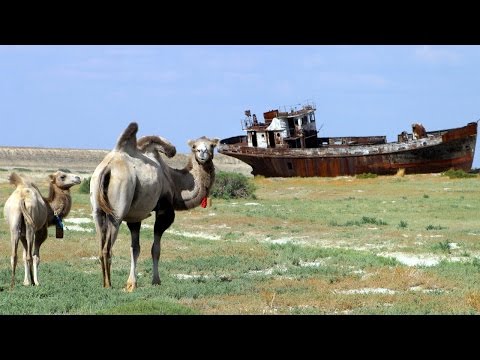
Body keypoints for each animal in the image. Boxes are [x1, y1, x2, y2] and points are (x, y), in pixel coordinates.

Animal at [90, 122, 219, 292]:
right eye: (194, 146)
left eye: (212, 145)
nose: (202, 152)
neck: (173, 181)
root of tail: (107, 168)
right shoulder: (164, 210)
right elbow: (155, 249)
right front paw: (156, 280)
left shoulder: (135, 216)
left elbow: (135, 248)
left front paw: (131, 284)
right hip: (117, 210)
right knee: (107, 248)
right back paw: (108, 285)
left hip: (97, 210)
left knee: (100, 244)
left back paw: (104, 283)